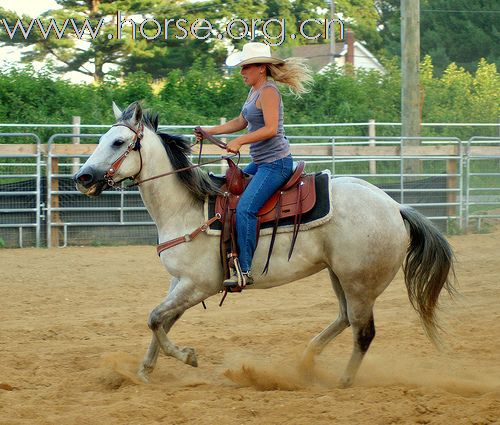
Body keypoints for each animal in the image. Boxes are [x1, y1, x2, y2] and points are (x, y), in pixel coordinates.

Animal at [72, 102, 456, 384]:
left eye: (118, 142)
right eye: (103, 139)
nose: (82, 177)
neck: (186, 207)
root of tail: (395, 207)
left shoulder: (200, 284)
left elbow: (154, 318)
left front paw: (186, 356)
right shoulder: (179, 282)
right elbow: (161, 320)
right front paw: (144, 371)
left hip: (361, 283)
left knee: (363, 332)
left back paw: (342, 382)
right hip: (341, 277)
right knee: (345, 318)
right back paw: (305, 362)